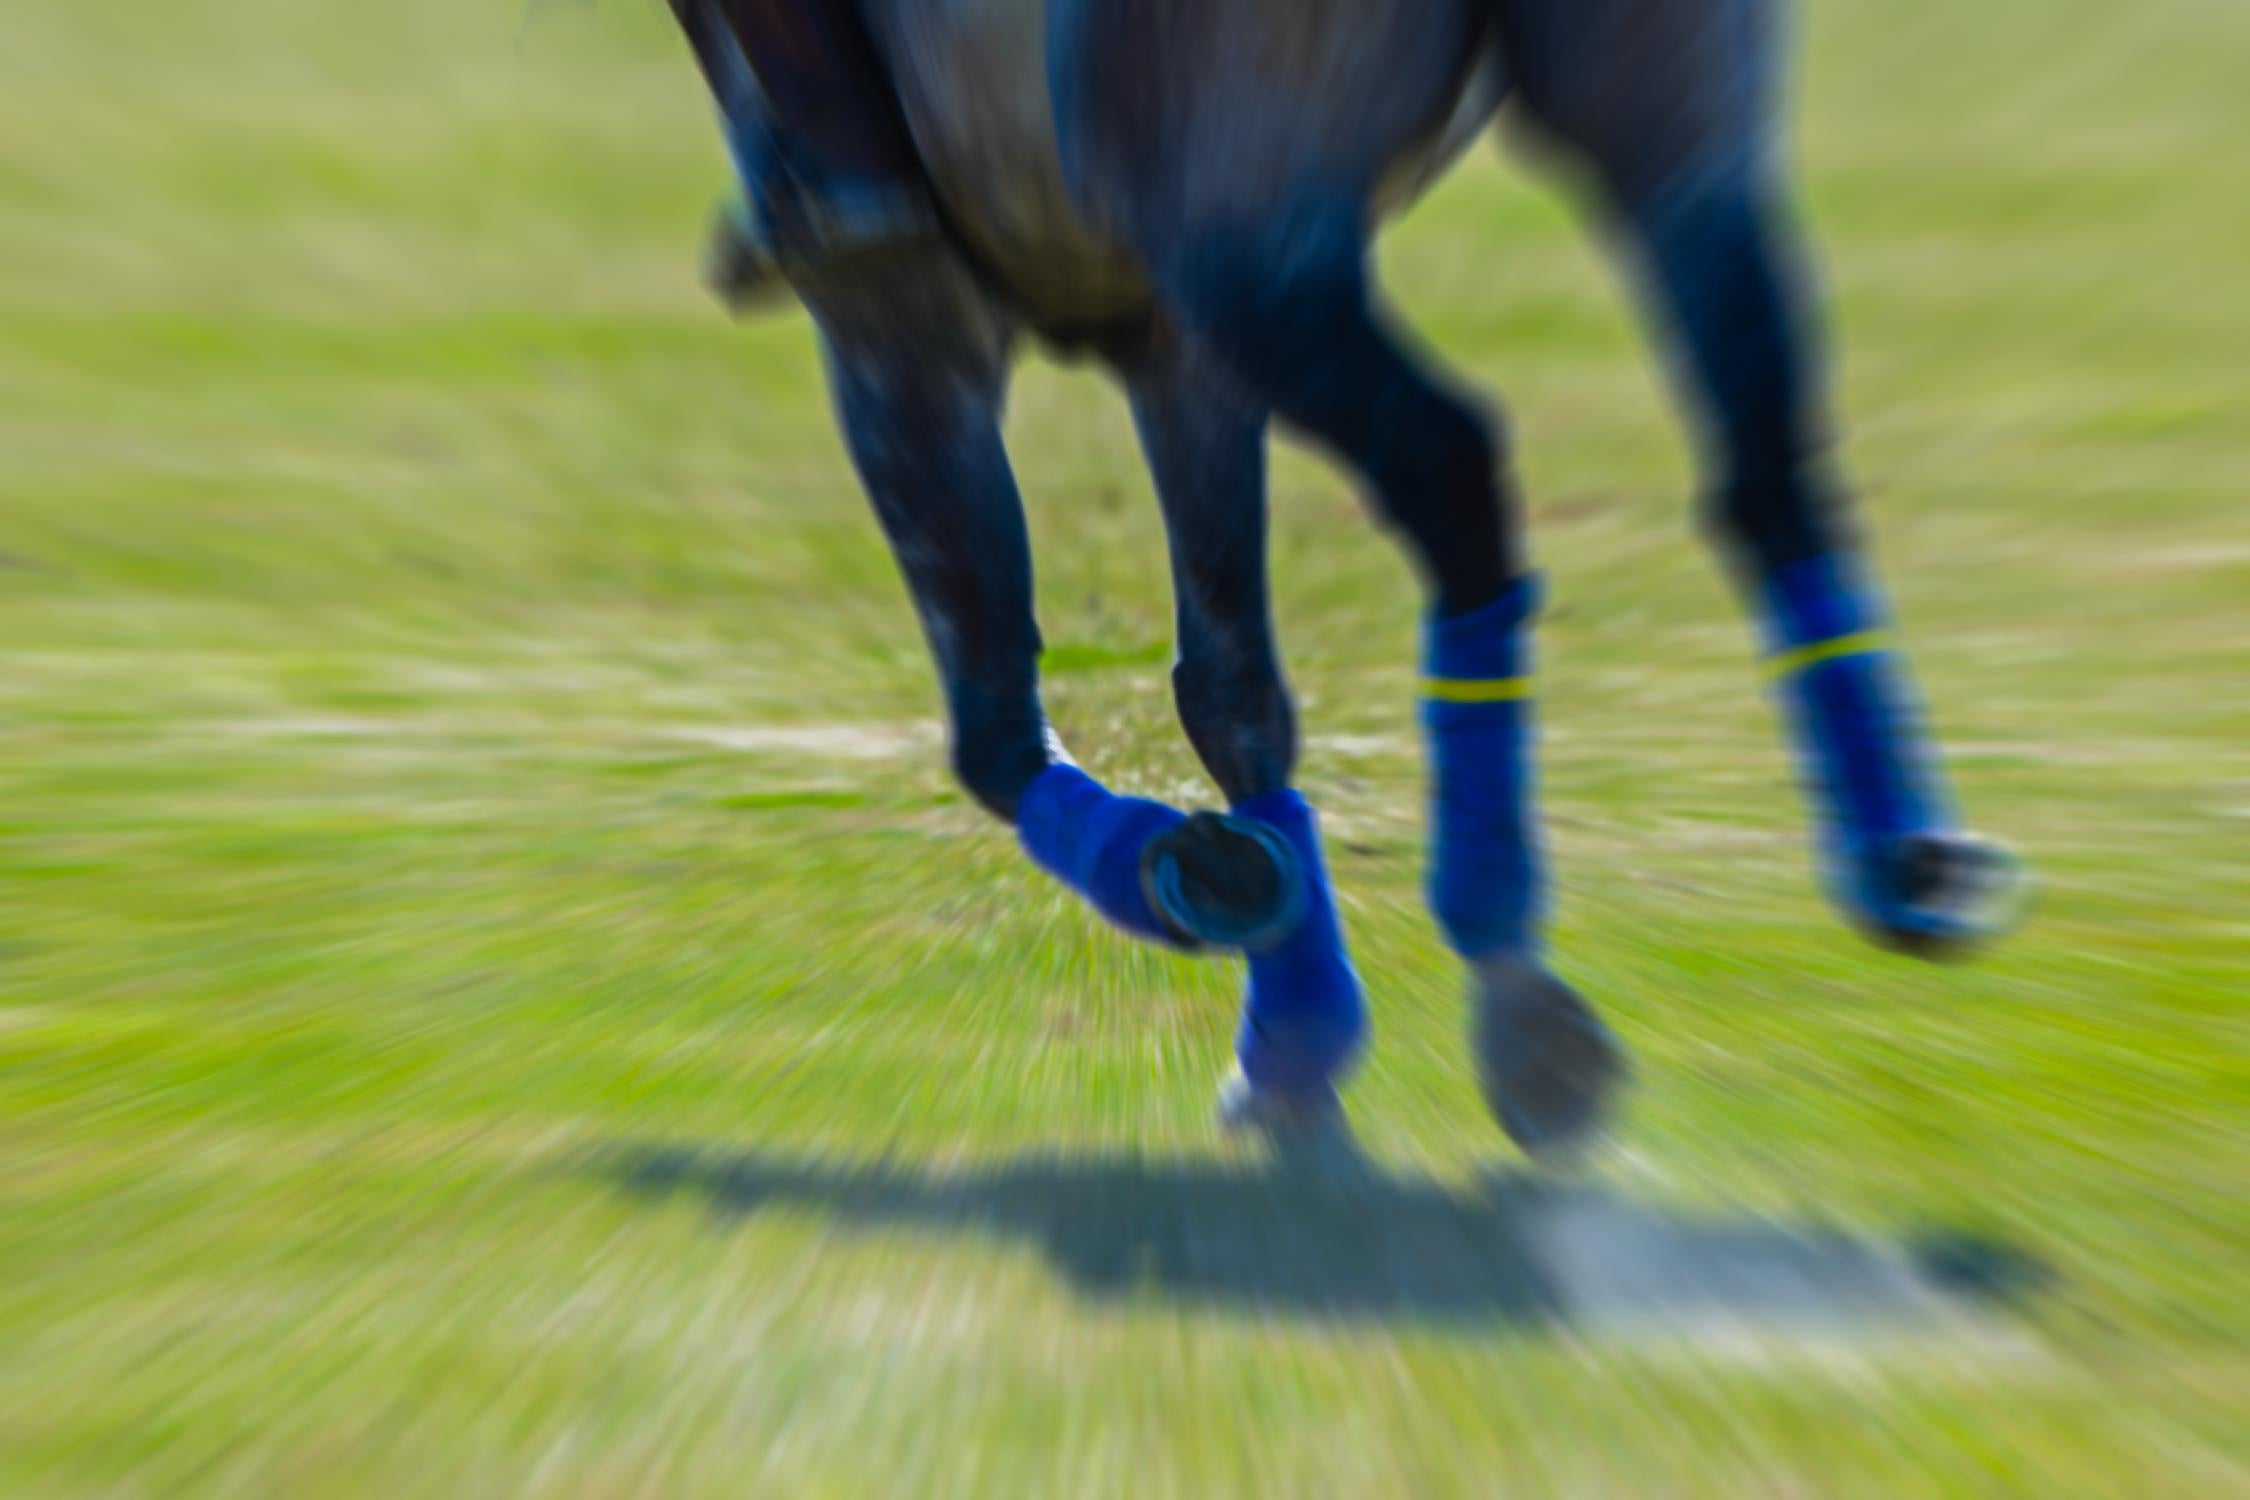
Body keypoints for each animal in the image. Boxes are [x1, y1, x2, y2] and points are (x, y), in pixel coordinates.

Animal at [652, 0, 2025, 1160]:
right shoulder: (1172, 349)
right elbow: (1230, 687)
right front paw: (1291, 1037)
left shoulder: (900, 336)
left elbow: (992, 728)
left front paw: (1195, 881)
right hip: (1660, 125)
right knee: (1765, 462)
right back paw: (1900, 855)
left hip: (1240, 226)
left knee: (1456, 470)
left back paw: (1511, 977)